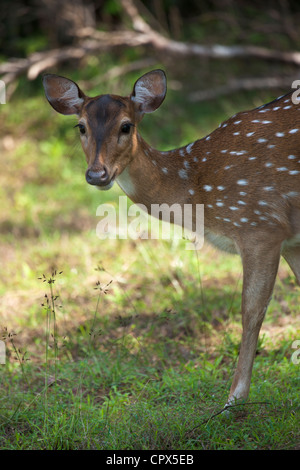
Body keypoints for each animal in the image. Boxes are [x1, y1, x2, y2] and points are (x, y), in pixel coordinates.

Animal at [42, 69, 300, 408]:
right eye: (81, 126)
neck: (199, 190)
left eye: (126, 126)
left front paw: (234, 400)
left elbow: (251, 311)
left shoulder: (260, 225)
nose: (97, 174)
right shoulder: (290, 239)